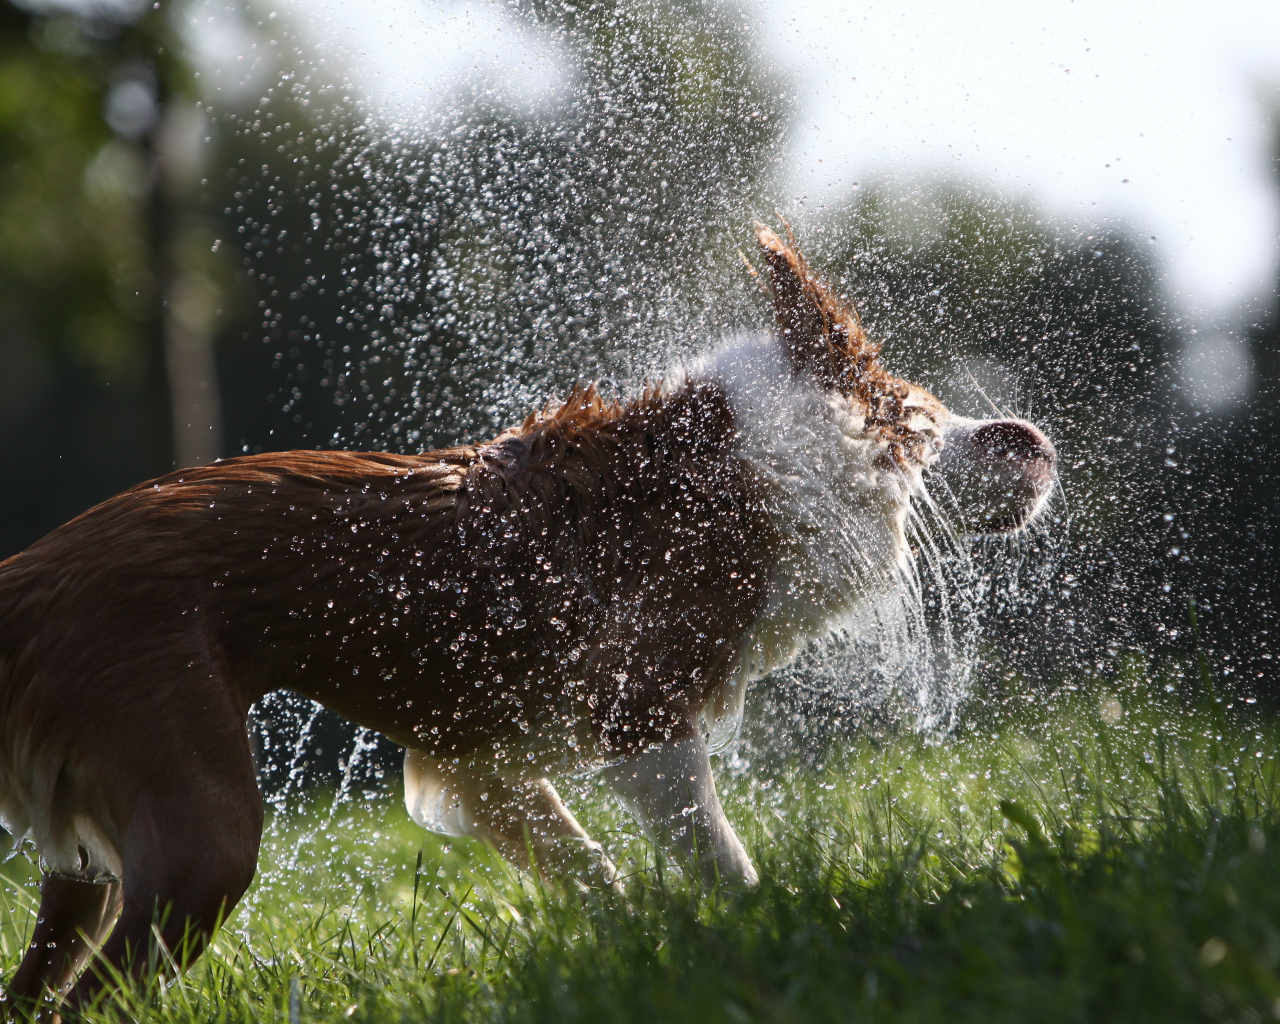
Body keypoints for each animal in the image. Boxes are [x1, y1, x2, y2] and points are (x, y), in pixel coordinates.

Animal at [2, 227, 1059, 1013]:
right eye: (924, 414)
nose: (1034, 440)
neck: (746, 472)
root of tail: (29, 573)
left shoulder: (483, 766)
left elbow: (599, 878)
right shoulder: (642, 720)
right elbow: (721, 862)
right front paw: (772, 938)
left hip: (92, 864)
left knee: (38, 984)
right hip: (205, 833)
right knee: (89, 1000)